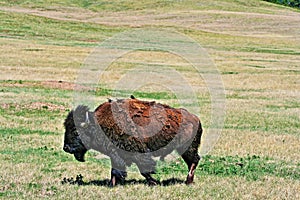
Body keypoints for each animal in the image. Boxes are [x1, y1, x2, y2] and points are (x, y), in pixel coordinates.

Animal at [63, 96, 202, 187]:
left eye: (76, 132)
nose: (66, 148)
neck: (98, 124)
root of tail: (196, 118)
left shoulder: (136, 153)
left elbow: (143, 169)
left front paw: (154, 182)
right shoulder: (115, 154)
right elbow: (115, 170)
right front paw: (112, 184)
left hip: (187, 148)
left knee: (194, 161)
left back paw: (188, 181)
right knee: (193, 161)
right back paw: (188, 181)